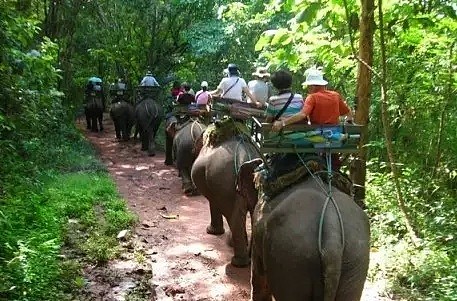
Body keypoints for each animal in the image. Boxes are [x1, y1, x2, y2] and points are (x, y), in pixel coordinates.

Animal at [190, 127, 260, 266]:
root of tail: (243, 154)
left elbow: (213, 203)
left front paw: (211, 231)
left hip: (221, 181)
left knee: (233, 217)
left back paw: (238, 262)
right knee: (252, 215)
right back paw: (247, 257)